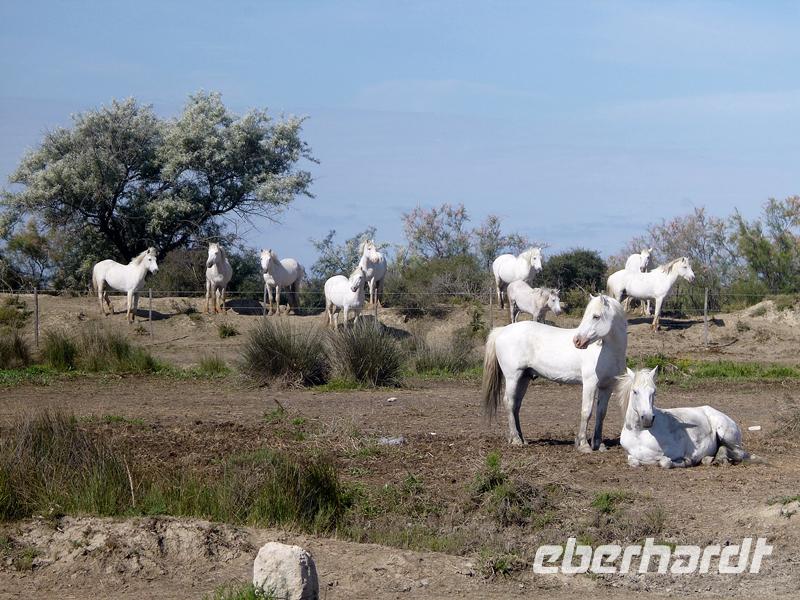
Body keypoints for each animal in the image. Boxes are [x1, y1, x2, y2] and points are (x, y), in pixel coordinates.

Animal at [482, 294, 627, 451]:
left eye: (596, 316)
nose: (577, 341)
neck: (607, 351)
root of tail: (502, 331)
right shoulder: (590, 384)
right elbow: (586, 411)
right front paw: (583, 444)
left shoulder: (607, 387)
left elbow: (601, 414)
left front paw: (599, 445)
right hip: (512, 377)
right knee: (509, 402)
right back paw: (515, 440)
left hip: (523, 378)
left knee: (516, 405)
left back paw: (522, 439)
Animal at [617, 367, 751, 468]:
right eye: (635, 391)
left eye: (654, 392)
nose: (648, 418)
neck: (639, 433)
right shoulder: (631, 455)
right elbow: (634, 462)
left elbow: (664, 462)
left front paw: (685, 462)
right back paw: (711, 459)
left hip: (726, 435)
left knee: (739, 453)